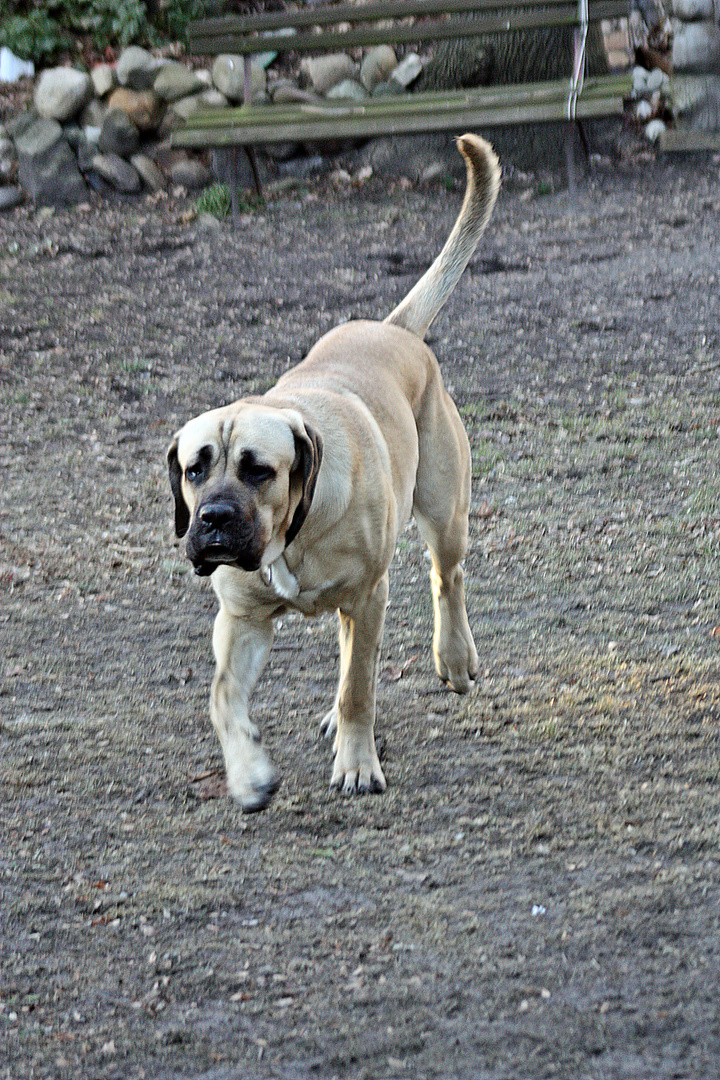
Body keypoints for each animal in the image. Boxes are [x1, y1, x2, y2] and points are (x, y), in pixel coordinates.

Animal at [169, 132, 500, 812]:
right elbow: (222, 698)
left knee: (446, 578)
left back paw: (455, 659)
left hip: (444, 513)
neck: (290, 536)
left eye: (258, 470)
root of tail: (395, 330)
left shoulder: (370, 594)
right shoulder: (241, 621)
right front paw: (250, 774)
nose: (212, 520)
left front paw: (356, 765)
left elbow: (359, 689)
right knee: (353, 646)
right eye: (195, 469)